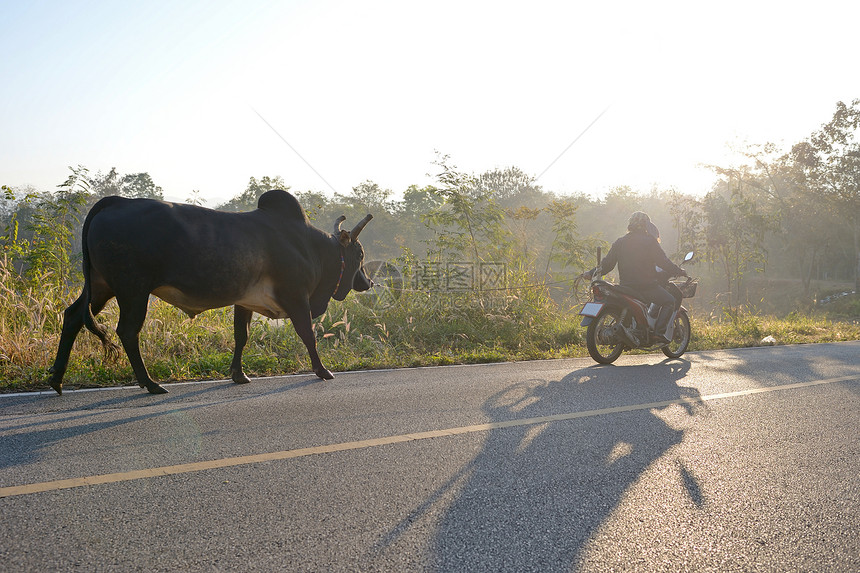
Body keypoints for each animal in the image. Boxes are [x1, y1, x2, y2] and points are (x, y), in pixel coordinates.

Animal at [49, 190, 372, 396]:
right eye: (359, 253)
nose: (367, 282)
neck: (310, 247)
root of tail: (115, 202)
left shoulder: (245, 301)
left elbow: (241, 336)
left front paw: (239, 375)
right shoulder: (296, 297)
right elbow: (308, 335)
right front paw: (323, 371)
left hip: (100, 287)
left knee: (73, 316)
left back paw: (56, 379)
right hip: (133, 290)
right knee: (127, 331)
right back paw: (150, 384)